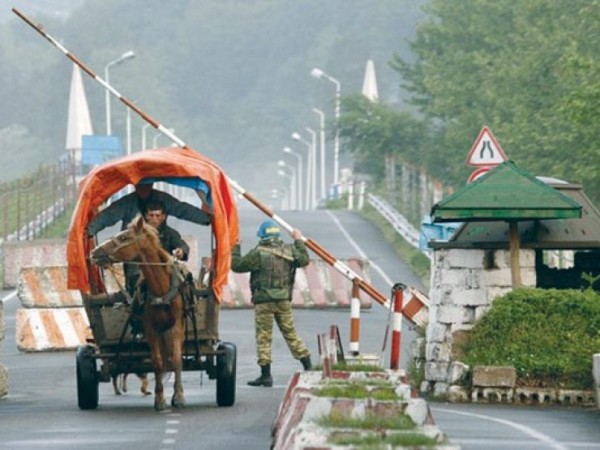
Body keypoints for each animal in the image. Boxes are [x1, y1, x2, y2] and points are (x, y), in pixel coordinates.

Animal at [89, 216, 186, 410]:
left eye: (124, 237)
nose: (94, 252)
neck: (161, 290)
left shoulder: (176, 326)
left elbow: (177, 359)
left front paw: (178, 396)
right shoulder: (151, 329)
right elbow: (157, 362)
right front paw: (160, 399)